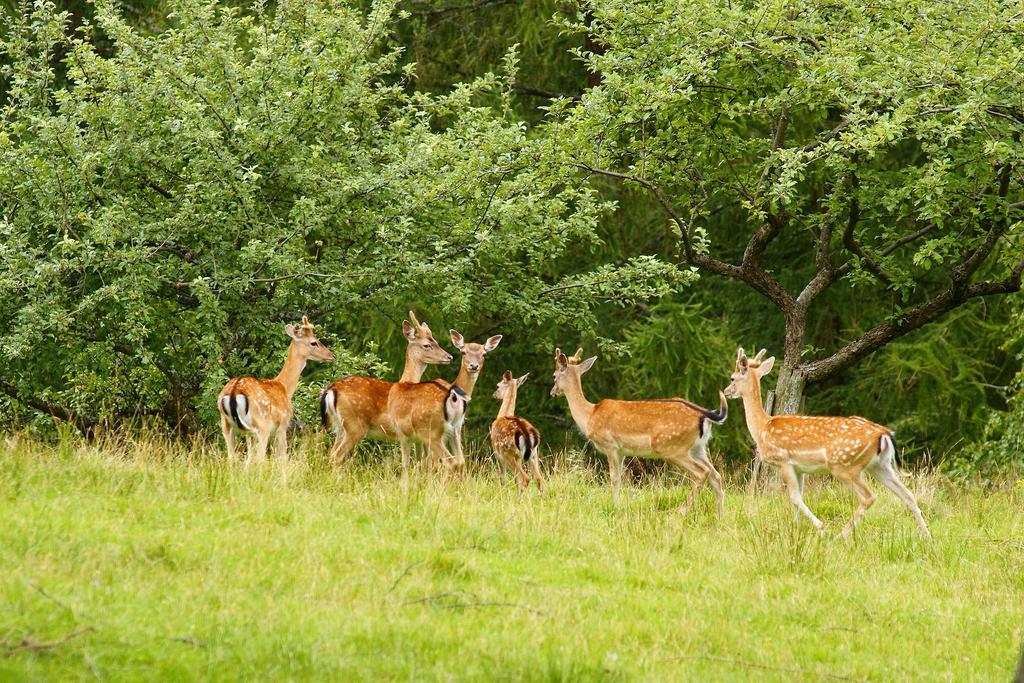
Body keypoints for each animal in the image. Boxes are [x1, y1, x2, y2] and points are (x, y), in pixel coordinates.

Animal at [220, 317, 335, 464]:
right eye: (313, 342)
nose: (331, 355)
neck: (284, 388)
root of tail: (234, 392)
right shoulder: (283, 423)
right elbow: (283, 457)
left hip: (227, 425)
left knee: (232, 458)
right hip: (261, 425)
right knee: (259, 458)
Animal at [317, 311, 450, 466]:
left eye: (436, 341)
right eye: (427, 345)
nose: (449, 356)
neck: (406, 381)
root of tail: (331, 390)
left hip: (339, 426)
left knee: (331, 453)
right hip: (355, 425)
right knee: (336, 456)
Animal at [387, 331, 503, 475]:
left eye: (484, 354)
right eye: (463, 352)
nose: (474, 366)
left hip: (432, 430)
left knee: (449, 462)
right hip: (454, 429)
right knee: (459, 461)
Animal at [552, 348, 729, 511]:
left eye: (554, 375)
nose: (552, 392)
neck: (589, 416)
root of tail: (705, 415)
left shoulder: (610, 445)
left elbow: (614, 478)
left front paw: (616, 506)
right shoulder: (622, 451)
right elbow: (620, 478)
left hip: (672, 447)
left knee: (702, 473)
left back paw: (681, 510)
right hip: (698, 448)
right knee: (716, 475)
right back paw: (720, 515)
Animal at [724, 350, 933, 536]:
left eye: (732, 378)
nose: (726, 391)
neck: (762, 428)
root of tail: (884, 434)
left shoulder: (784, 461)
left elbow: (795, 498)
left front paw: (820, 527)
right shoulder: (799, 468)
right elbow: (797, 498)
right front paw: (795, 529)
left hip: (845, 465)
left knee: (869, 497)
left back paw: (841, 535)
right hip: (879, 465)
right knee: (908, 495)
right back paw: (927, 537)